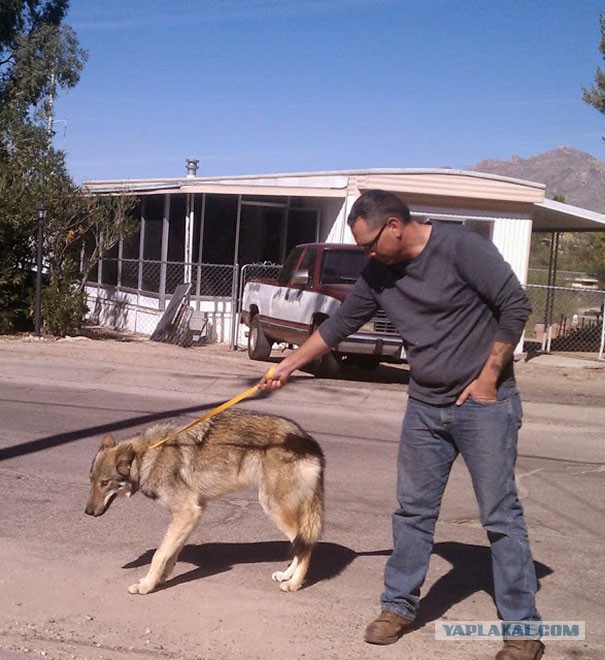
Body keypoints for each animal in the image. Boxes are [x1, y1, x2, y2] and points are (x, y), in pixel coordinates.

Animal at [84, 410, 326, 596]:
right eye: (92, 481)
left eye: (105, 483)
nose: (87, 512)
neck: (149, 457)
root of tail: (312, 444)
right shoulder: (192, 513)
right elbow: (170, 553)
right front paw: (161, 578)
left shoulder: (187, 512)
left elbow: (158, 555)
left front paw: (146, 586)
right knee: (301, 545)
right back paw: (286, 575)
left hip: (273, 508)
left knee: (305, 546)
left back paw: (294, 584)